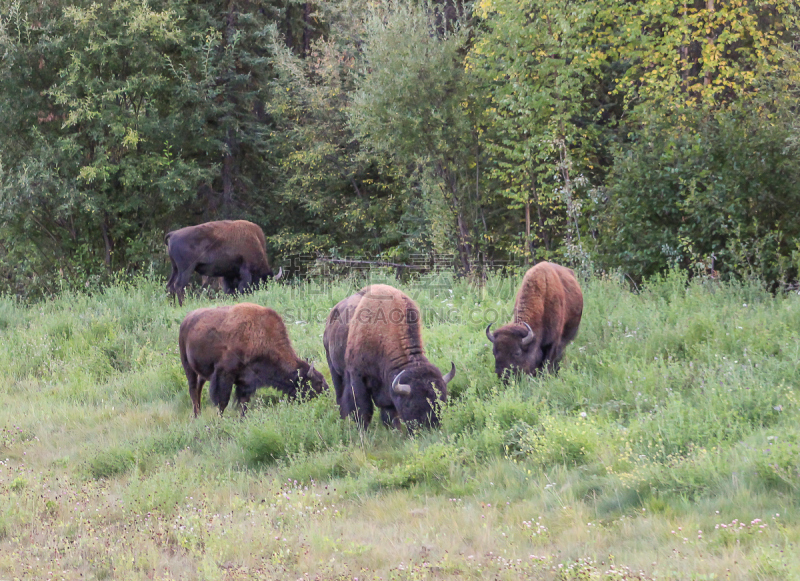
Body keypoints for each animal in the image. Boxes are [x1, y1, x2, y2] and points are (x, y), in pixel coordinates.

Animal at [178, 302, 324, 414]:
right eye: (316, 383)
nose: (326, 392)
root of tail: (186, 320)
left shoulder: (246, 382)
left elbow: (244, 403)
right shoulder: (224, 375)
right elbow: (222, 402)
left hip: (202, 372)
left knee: (198, 387)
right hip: (187, 365)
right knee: (193, 389)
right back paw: (196, 416)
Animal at [322, 284, 454, 428]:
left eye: (442, 401)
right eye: (411, 404)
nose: (431, 427)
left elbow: (389, 412)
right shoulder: (356, 377)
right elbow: (362, 409)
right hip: (334, 368)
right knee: (340, 396)